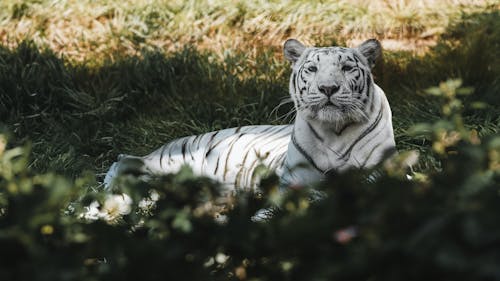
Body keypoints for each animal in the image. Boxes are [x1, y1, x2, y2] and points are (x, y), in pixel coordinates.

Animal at [103, 38, 396, 190]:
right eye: (312, 69)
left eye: (347, 68)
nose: (328, 88)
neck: (334, 130)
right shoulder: (294, 182)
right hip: (173, 161)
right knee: (124, 158)